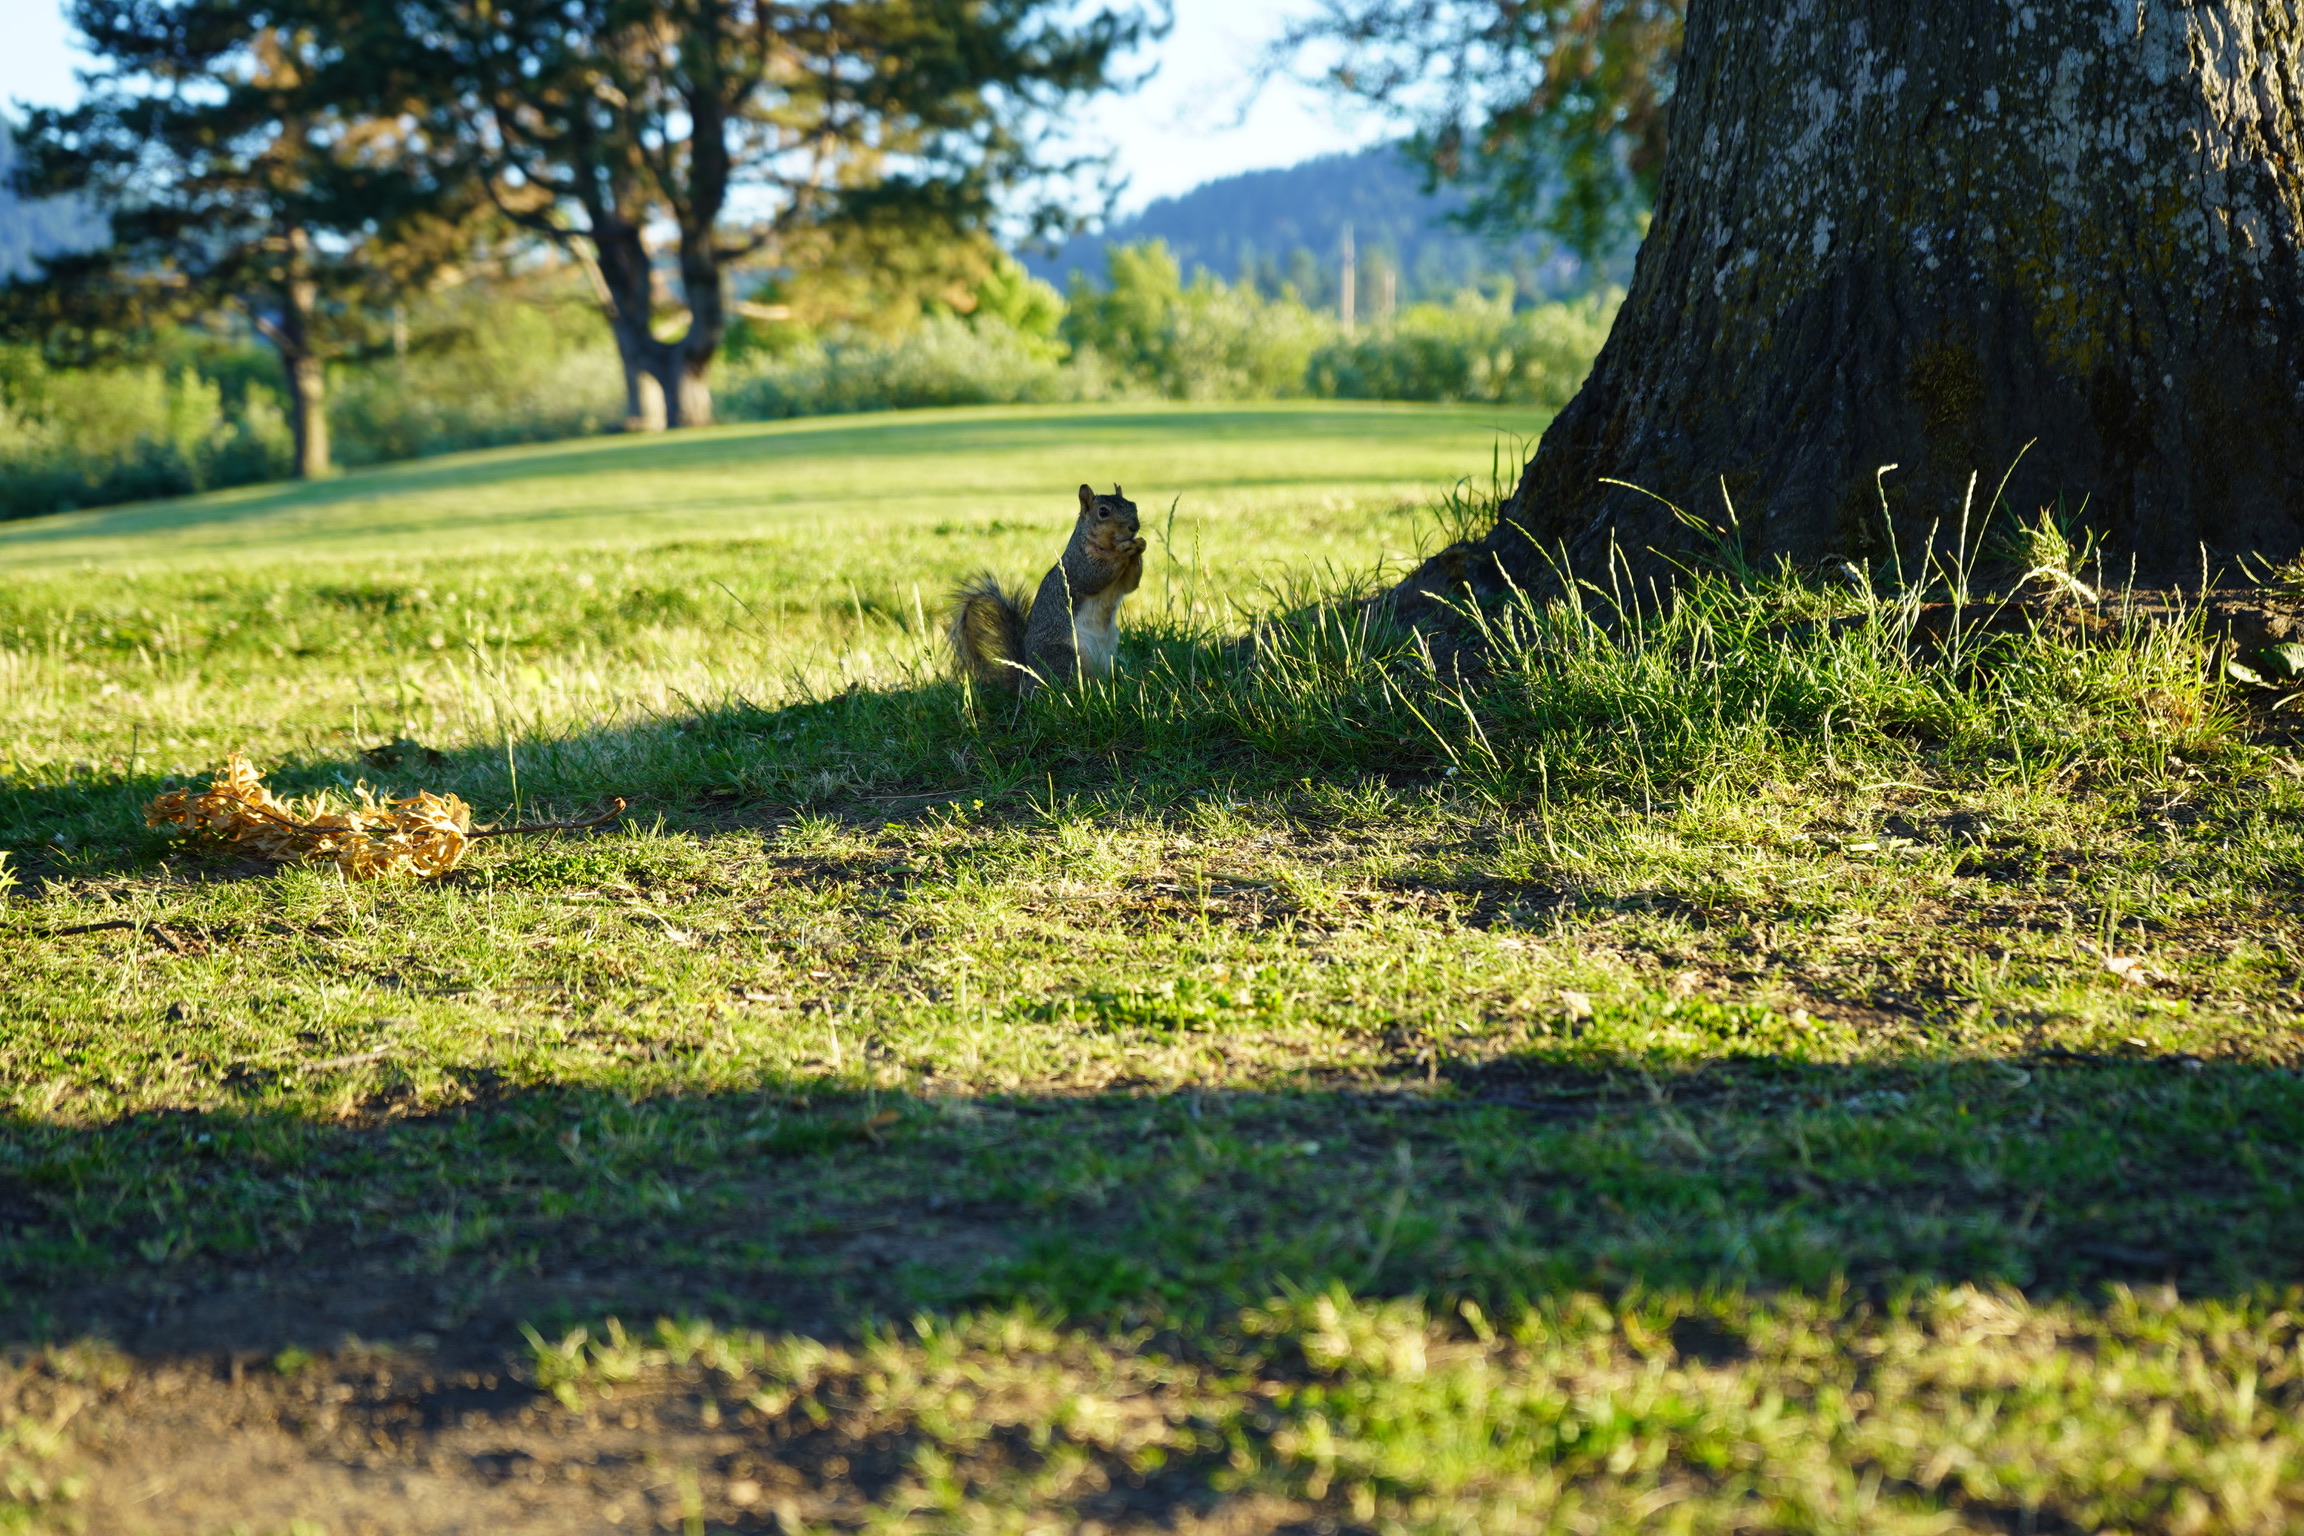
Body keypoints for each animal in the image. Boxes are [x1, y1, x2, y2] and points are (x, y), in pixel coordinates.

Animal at [949, 484, 1146, 697]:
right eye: (1103, 512)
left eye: (1133, 505)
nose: (1134, 527)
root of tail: (1027, 680)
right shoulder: (1078, 564)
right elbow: (1094, 575)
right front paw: (1123, 551)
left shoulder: (1120, 583)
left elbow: (1130, 584)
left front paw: (1140, 546)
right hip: (1063, 657)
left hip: (1104, 658)